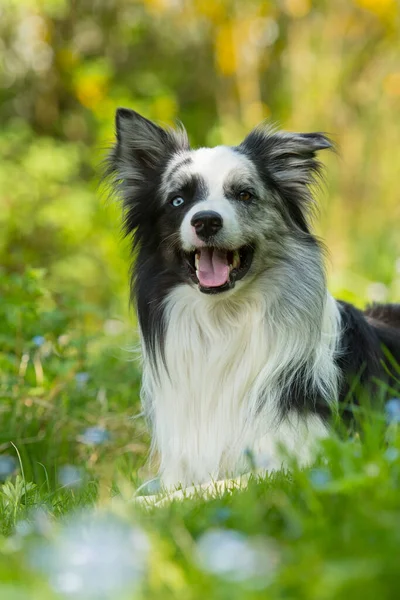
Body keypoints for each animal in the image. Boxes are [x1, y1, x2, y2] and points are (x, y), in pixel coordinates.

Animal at [106, 109, 400, 492]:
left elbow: (201, 491)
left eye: (244, 195)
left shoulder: (305, 460)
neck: (224, 320)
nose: (206, 221)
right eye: (178, 200)